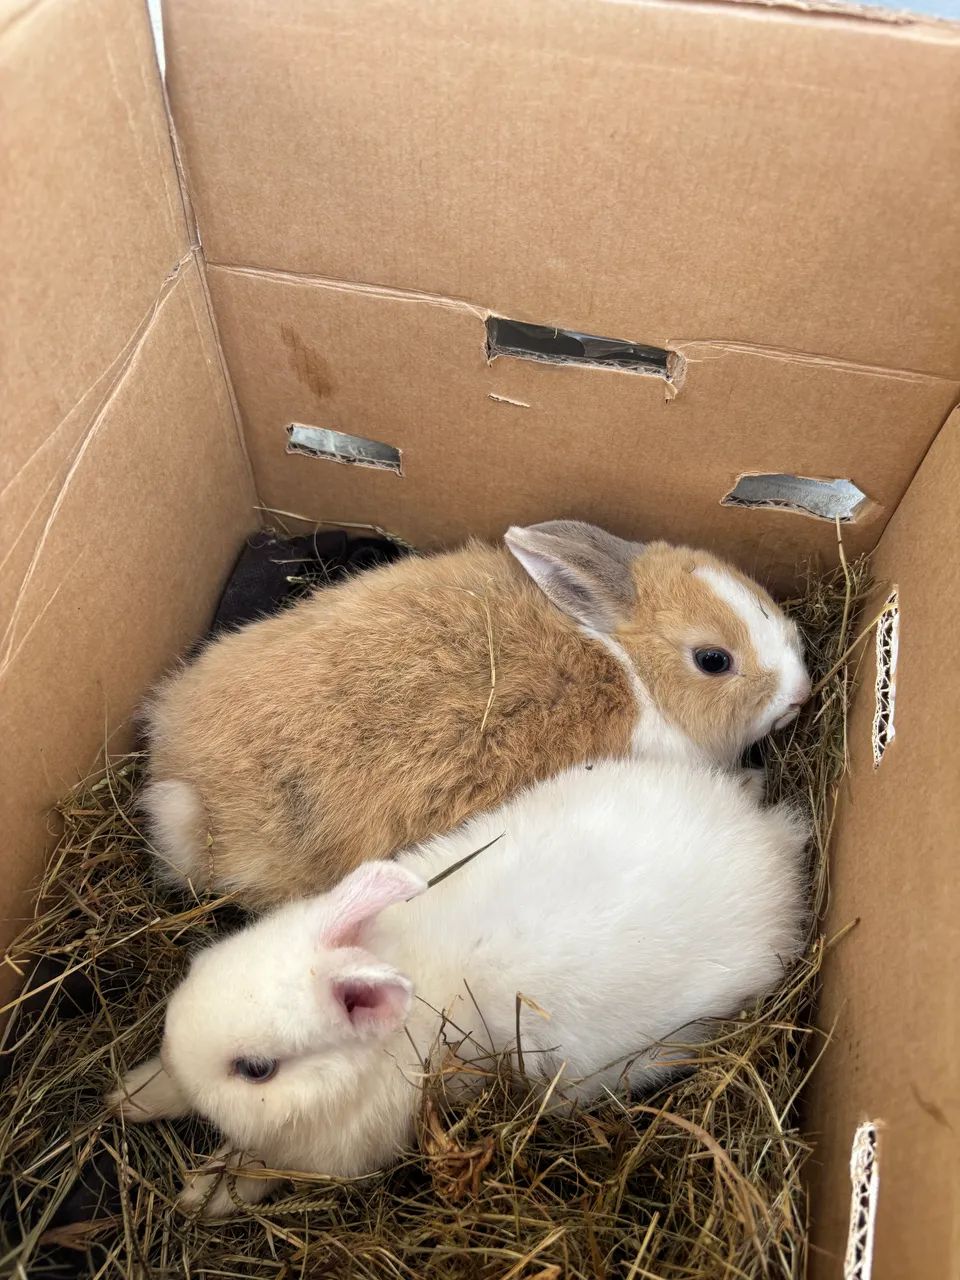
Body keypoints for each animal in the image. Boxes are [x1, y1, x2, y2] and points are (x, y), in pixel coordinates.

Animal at [110, 754, 809, 1217]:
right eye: (199, 968)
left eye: (256, 1070)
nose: (180, 1057)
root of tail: (773, 842)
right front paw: (128, 1096)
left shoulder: (325, 1153)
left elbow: (257, 1167)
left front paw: (201, 1195)